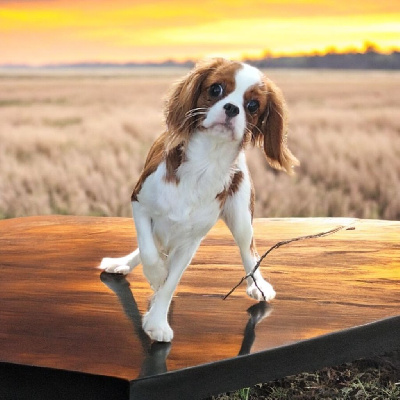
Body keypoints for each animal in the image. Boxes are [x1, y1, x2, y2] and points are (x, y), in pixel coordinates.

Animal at [101, 57, 296, 342]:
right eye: (216, 89)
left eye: (253, 106)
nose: (232, 108)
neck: (206, 160)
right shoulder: (139, 203)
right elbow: (149, 251)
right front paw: (156, 274)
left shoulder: (191, 241)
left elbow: (171, 282)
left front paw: (157, 322)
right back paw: (124, 264)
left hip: (241, 217)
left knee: (248, 250)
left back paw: (257, 285)